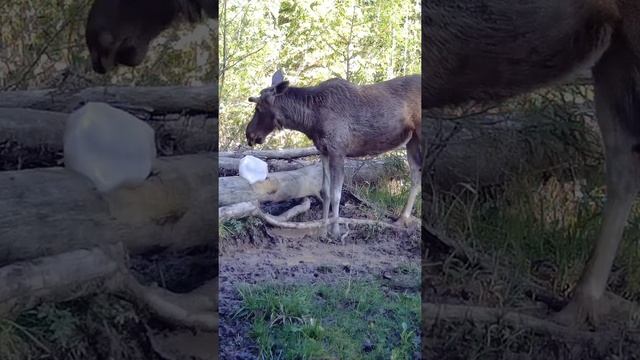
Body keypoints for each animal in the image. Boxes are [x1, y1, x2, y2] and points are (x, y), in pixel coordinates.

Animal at [248, 70, 422, 239]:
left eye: (258, 108)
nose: (249, 134)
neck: (310, 121)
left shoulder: (338, 151)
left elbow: (336, 194)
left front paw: (336, 231)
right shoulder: (324, 151)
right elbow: (326, 192)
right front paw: (323, 231)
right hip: (412, 140)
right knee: (415, 177)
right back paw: (402, 219)